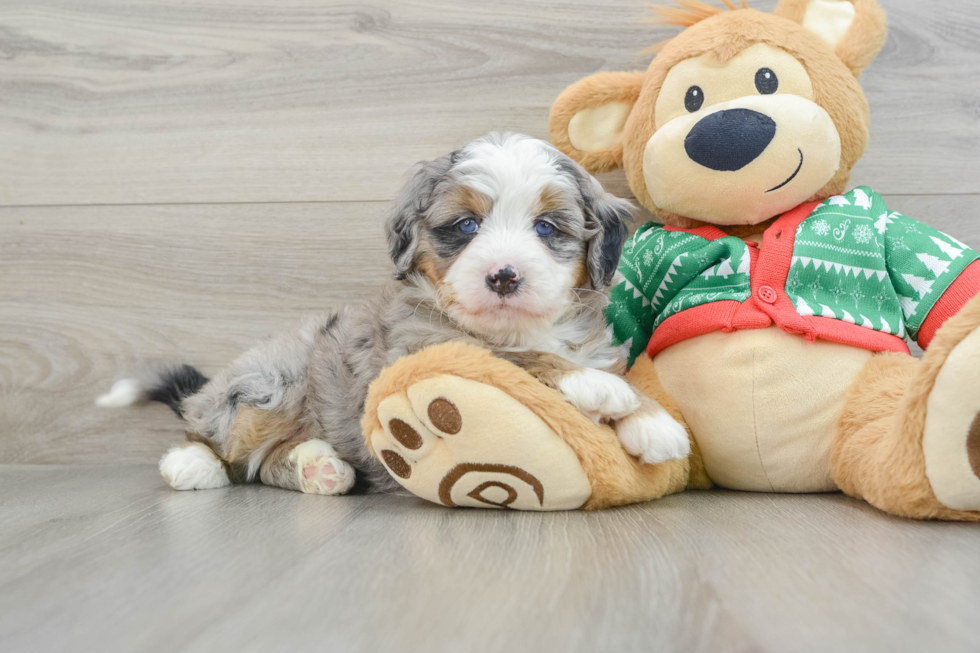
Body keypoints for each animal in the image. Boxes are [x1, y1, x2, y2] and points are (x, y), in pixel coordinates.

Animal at [101, 132, 688, 494]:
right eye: (466, 226)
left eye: (547, 228)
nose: (503, 276)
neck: (520, 328)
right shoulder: (420, 350)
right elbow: (510, 358)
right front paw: (596, 387)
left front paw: (653, 423)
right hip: (271, 383)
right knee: (216, 434)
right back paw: (192, 463)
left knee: (265, 464)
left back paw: (320, 469)